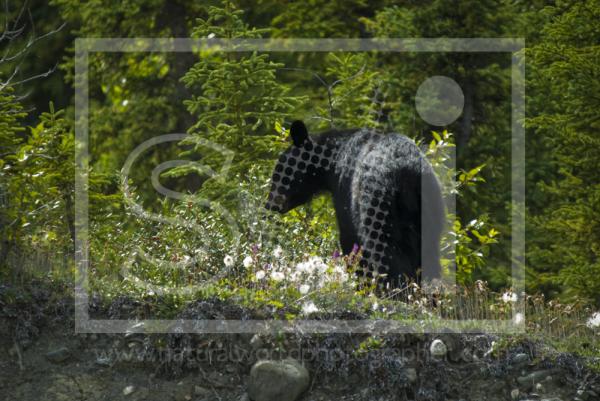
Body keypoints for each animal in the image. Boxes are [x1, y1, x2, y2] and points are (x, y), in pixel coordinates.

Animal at [264, 119, 442, 284]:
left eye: (280, 172)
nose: (270, 204)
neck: (333, 160)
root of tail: (406, 172)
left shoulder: (344, 191)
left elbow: (349, 237)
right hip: (430, 205)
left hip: (379, 203)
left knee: (386, 250)